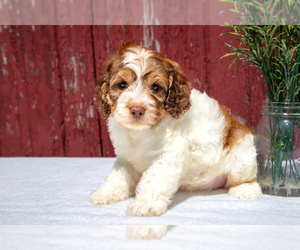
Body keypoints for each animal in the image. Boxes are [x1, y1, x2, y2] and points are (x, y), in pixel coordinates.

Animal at [90, 41, 262, 217]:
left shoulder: (168, 155)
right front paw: (106, 193)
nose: (137, 110)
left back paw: (245, 189)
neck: (140, 131)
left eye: (155, 87)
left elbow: (153, 179)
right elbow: (118, 175)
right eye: (122, 85)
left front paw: (145, 204)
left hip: (242, 161)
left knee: (245, 179)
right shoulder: (126, 156)